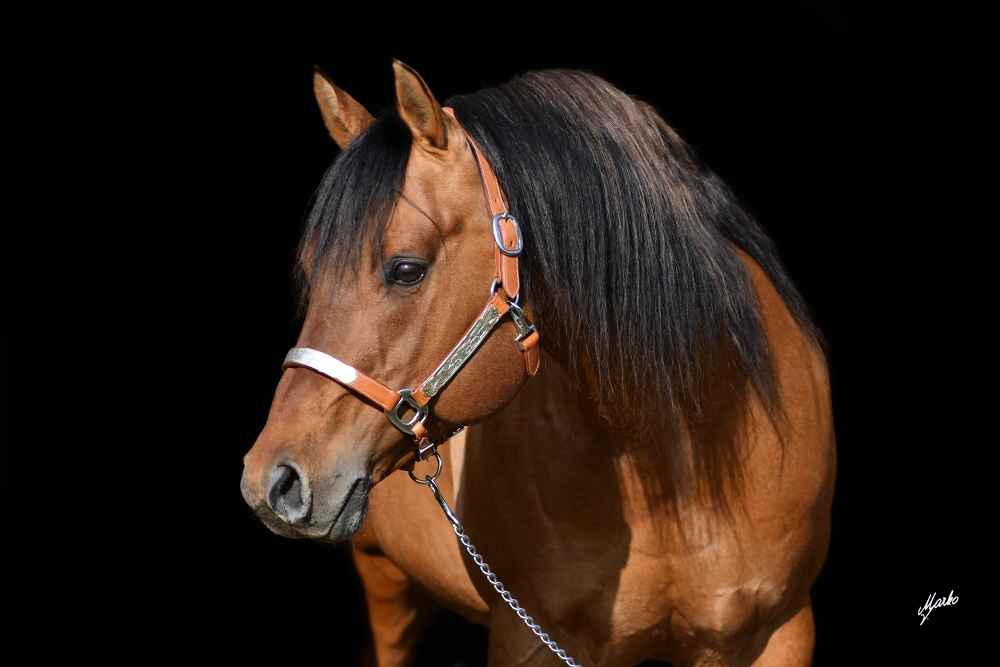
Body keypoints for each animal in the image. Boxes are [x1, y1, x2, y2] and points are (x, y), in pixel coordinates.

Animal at [240, 58, 836, 667]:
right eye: (310, 271)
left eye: (406, 269)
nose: (272, 481)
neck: (678, 476)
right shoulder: (529, 639)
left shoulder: (781, 632)